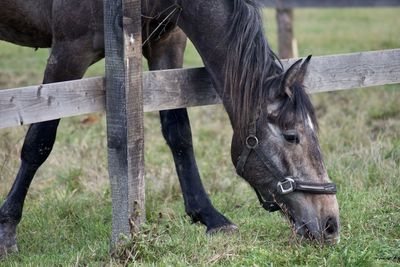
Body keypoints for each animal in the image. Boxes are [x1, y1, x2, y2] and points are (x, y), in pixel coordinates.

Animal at [0, 0, 340, 256]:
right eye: (292, 136)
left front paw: (210, 217)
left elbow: (179, 133)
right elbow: (39, 140)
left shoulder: (166, 45)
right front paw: (7, 228)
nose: (331, 224)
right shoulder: (68, 52)